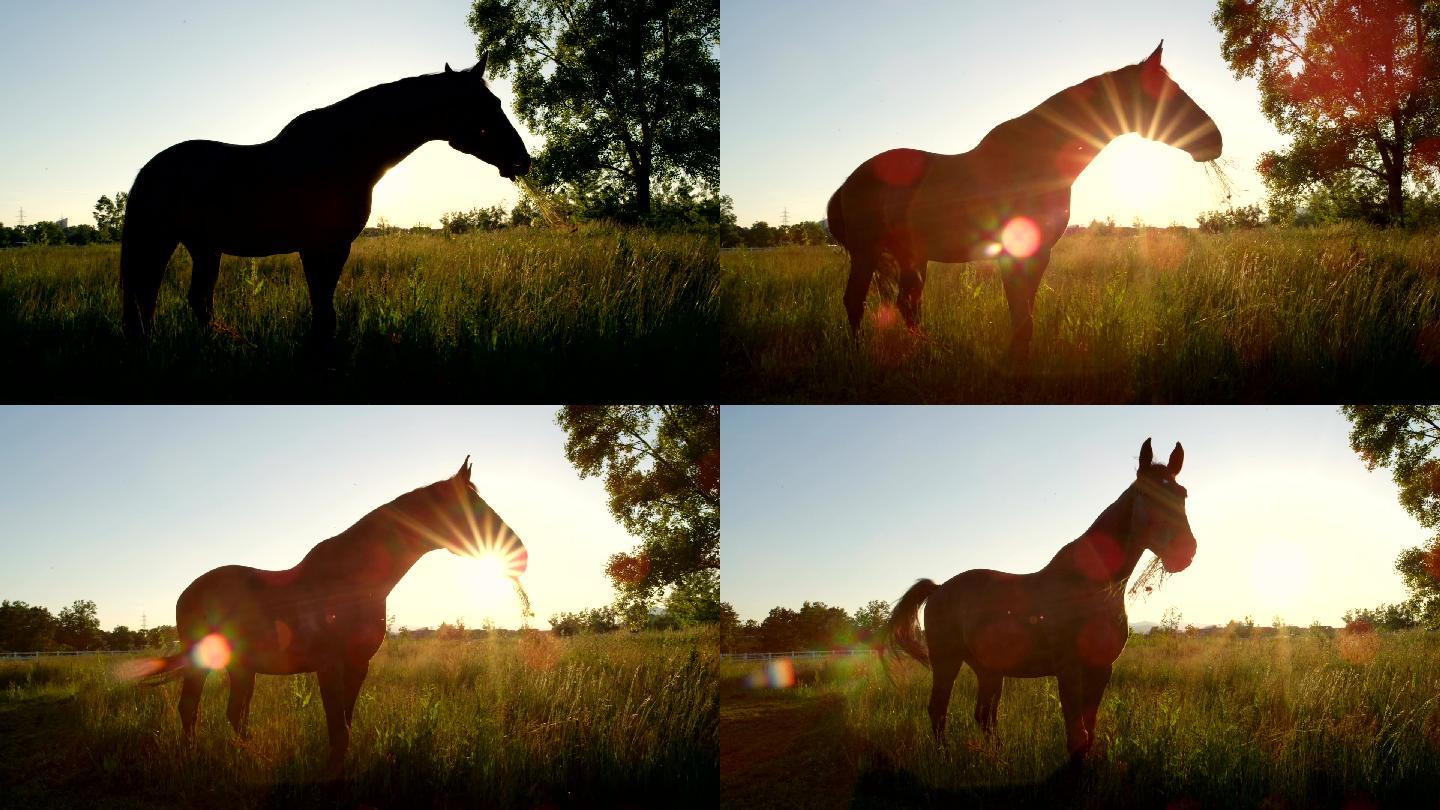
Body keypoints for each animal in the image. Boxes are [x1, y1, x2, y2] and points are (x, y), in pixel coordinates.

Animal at [120, 52, 532, 343]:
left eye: (497, 102)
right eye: (485, 107)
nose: (522, 159)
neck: (345, 152)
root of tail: (148, 170)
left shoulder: (334, 248)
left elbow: (325, 312)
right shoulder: (319, 247)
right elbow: (323, 313)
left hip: (205, 248)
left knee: (191, 302)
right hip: (161, 243)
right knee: (147, 300)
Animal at [129, 458, 529, 772]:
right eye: (472, 505)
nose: (519, 553)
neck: (352, 581)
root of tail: (188, 592)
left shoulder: (357, 666)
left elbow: (345, 726)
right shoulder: (329, 666)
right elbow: (338, 728)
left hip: (242, 667)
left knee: (234, 714)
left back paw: (252, 758)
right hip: (204, 664)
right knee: (190, 709)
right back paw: (194, 757)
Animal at [829, 41, 1221, 355]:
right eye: (1167, 93)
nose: (1214, 140)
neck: (1035, 160)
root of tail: (848, 183)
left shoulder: (1038, 254)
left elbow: (1025, 315)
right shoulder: (1016, 253)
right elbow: (1021, 316)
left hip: (911, 256)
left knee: (907, 306)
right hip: (867, 254)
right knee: (856, 302)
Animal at [881, 435, 1198, 755]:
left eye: (1182, 493)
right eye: (1145, 493)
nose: (1184, 550)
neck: (1091, 587)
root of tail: (938, 588)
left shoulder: (1101, 669)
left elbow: (1088, 734)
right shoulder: (1068, 668)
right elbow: (1076, 737)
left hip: (989, 670)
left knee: (984, 716)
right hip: (946, 662)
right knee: (939, 711)